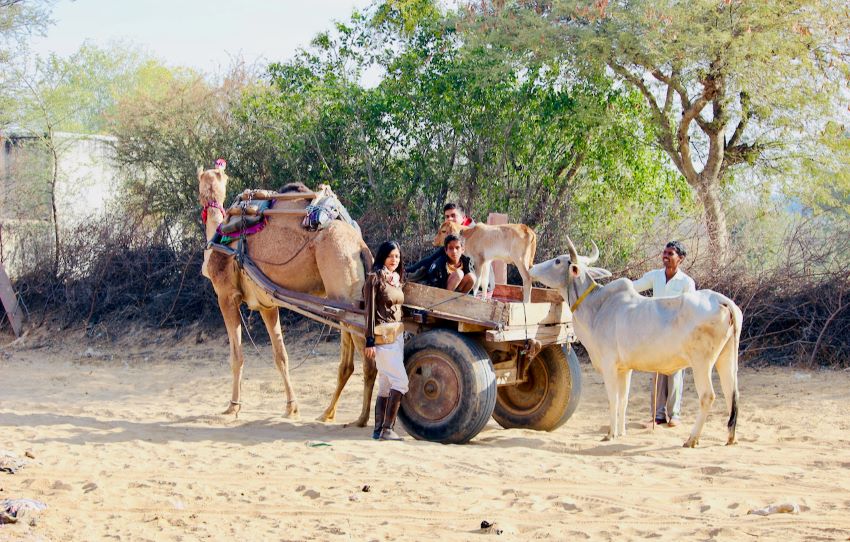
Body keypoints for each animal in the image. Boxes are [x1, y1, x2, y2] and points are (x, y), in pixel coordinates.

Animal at [197, 165, 376, 424]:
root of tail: (361, 247)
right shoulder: (267, 305)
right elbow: (280, 355)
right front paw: (291, 407)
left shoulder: (226, 296)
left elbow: (237, 356)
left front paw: (232, 406)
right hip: (347, 299)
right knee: (349, 361)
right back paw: (328, 413)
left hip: (344, 289)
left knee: (369, 358)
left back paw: (362, 419)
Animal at [528, 240, 740, 448]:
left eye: (557, 261)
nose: (531, 267)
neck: (596, 308)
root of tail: (721, 300)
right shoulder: (625, 369)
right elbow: (623, 399)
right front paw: (621, 432)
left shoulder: (609, 366)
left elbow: (613, 399)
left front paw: (610, 434)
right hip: (726, 359)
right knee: (732, 393)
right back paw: (730, 437)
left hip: (701, 363)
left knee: (708, 396)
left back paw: (692, 439)